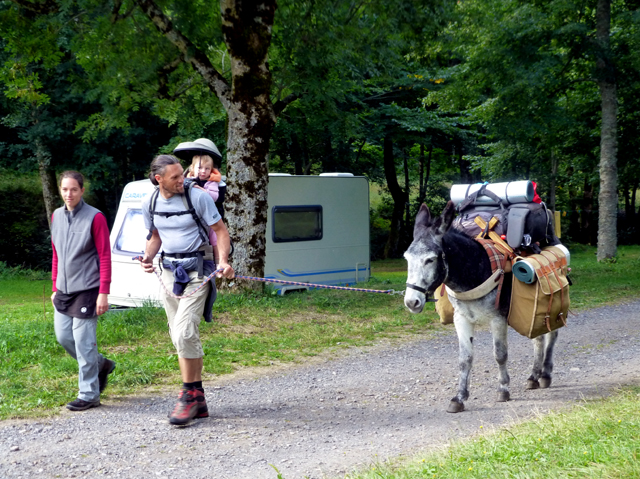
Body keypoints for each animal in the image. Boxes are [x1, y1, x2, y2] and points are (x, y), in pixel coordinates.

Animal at [403, 201, 558, 413]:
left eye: (430, 259)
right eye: (406, 258)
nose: (412, 302)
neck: (473, 273)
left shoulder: (498, 319)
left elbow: (500, 355)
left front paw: (503, 389)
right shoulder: (461, 319)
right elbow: (465, 359)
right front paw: (459, 397)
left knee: (552, 334)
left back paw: (545, 375)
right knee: (538, 338)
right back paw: (534, 376)